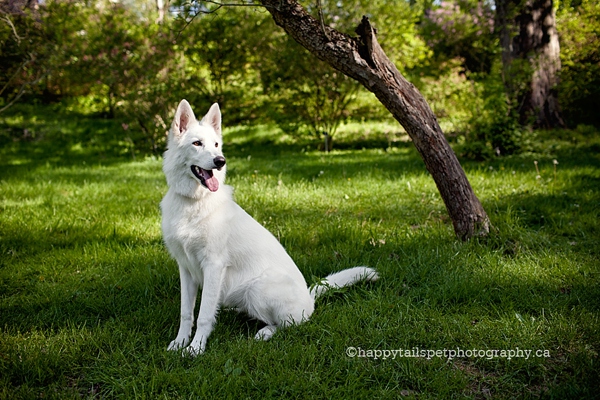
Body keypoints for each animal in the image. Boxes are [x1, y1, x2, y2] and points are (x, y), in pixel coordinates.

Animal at [159, 101, 376, 356]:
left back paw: (264, 332)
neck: (193, 202)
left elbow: (203, 315)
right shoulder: (186, 269)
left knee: (288, 324)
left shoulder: (213, 266)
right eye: (197, 143)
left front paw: (195, 349)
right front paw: (180, 343)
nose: (220, 161)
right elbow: (187, 313)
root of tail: (309, 298)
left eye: (216, 145)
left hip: (258, 289)